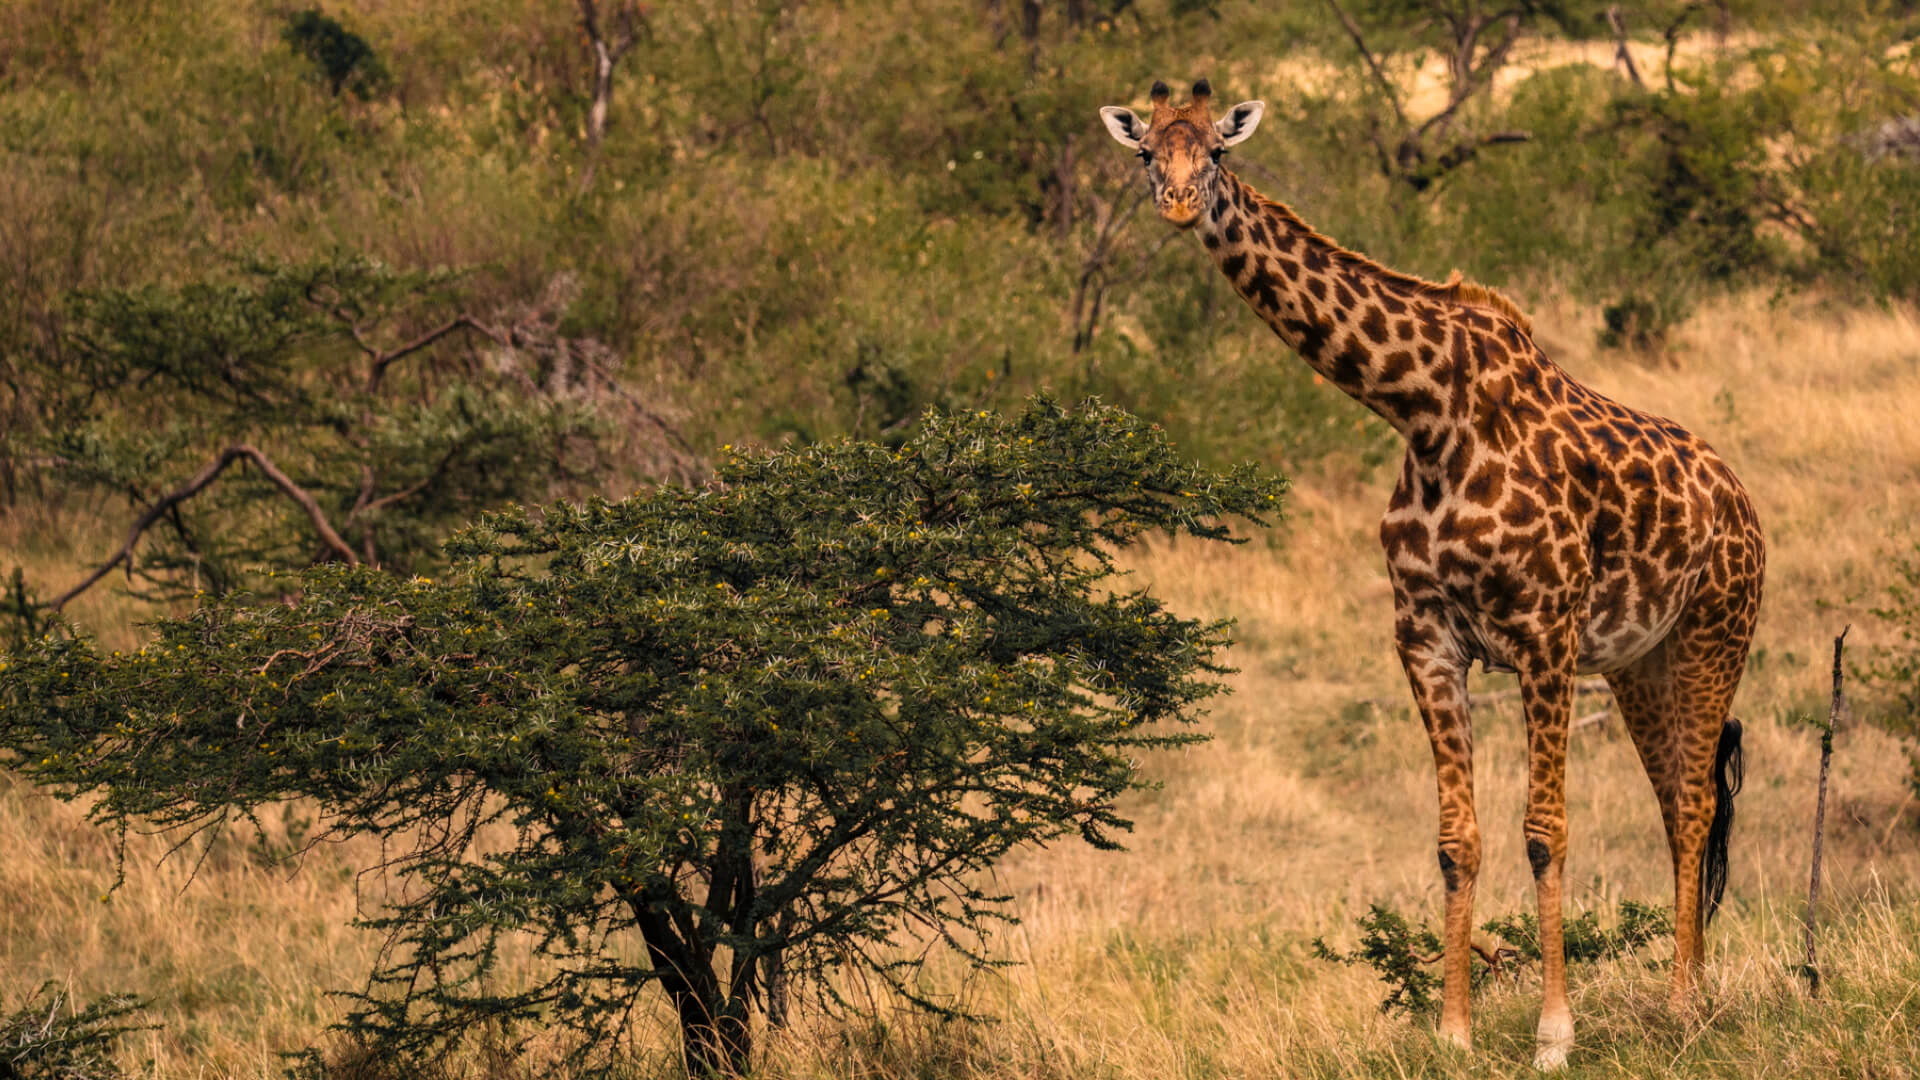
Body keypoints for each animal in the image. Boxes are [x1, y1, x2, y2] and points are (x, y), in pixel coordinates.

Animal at [1100, 80, 1763, 1069]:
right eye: (1148, 152)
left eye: (1215, 151)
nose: (1179, 203)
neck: (1422, 410)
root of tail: (1742, 501)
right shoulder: (1427, 639)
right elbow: (1458, 840)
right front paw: (1452, 1032)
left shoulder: (1543, 634)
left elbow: (1544, 832)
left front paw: (1553, 1037)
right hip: (1638, 661)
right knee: (1676, 798)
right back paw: (1688, 988)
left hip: (1717, 629)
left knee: (1692, 803)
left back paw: (1686, 1003)